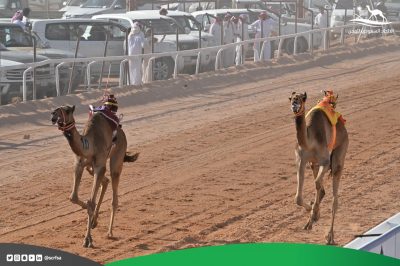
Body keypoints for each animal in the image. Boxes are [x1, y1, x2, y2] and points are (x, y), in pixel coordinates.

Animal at [50, 104, 138, 247]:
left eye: (67, 110)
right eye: (56, 109)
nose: (53, 114)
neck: (88, 145)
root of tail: (121, 132)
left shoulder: (99, 166)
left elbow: (91, 202)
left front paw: (88, 240)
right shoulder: (79, 164)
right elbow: (73, 197)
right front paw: (87, 211)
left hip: (117, 156)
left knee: (114, 193)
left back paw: (109, 232)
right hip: (90, 168)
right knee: (105, 181)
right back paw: (94, 221)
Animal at [290, 90, 348, 244]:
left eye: (302, 98)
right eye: (291, 98)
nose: (294, 105)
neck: (309, 142)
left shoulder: (325, 161)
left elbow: (317, 183)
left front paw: (314, 213)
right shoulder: (301, 160)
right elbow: (298, 197)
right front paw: (311, 210)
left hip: (340, 153)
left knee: (334, 199)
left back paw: (330, 237)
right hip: (313, 164)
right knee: (321, 189)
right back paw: (309, 222)